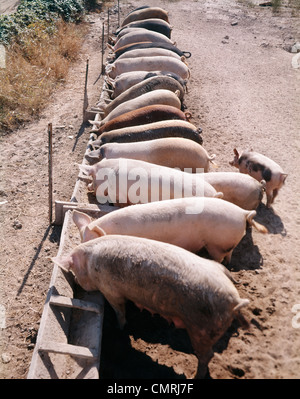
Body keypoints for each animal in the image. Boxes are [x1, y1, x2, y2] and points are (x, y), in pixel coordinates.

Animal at [52, 236, 250, 380]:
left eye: (74, 270)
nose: (75, 281)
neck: (89, 262)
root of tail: (235, 300)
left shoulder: (111, 290)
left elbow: (119, 311)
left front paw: (119, 328)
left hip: (203, 329)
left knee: (207, 355)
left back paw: (195, 377)